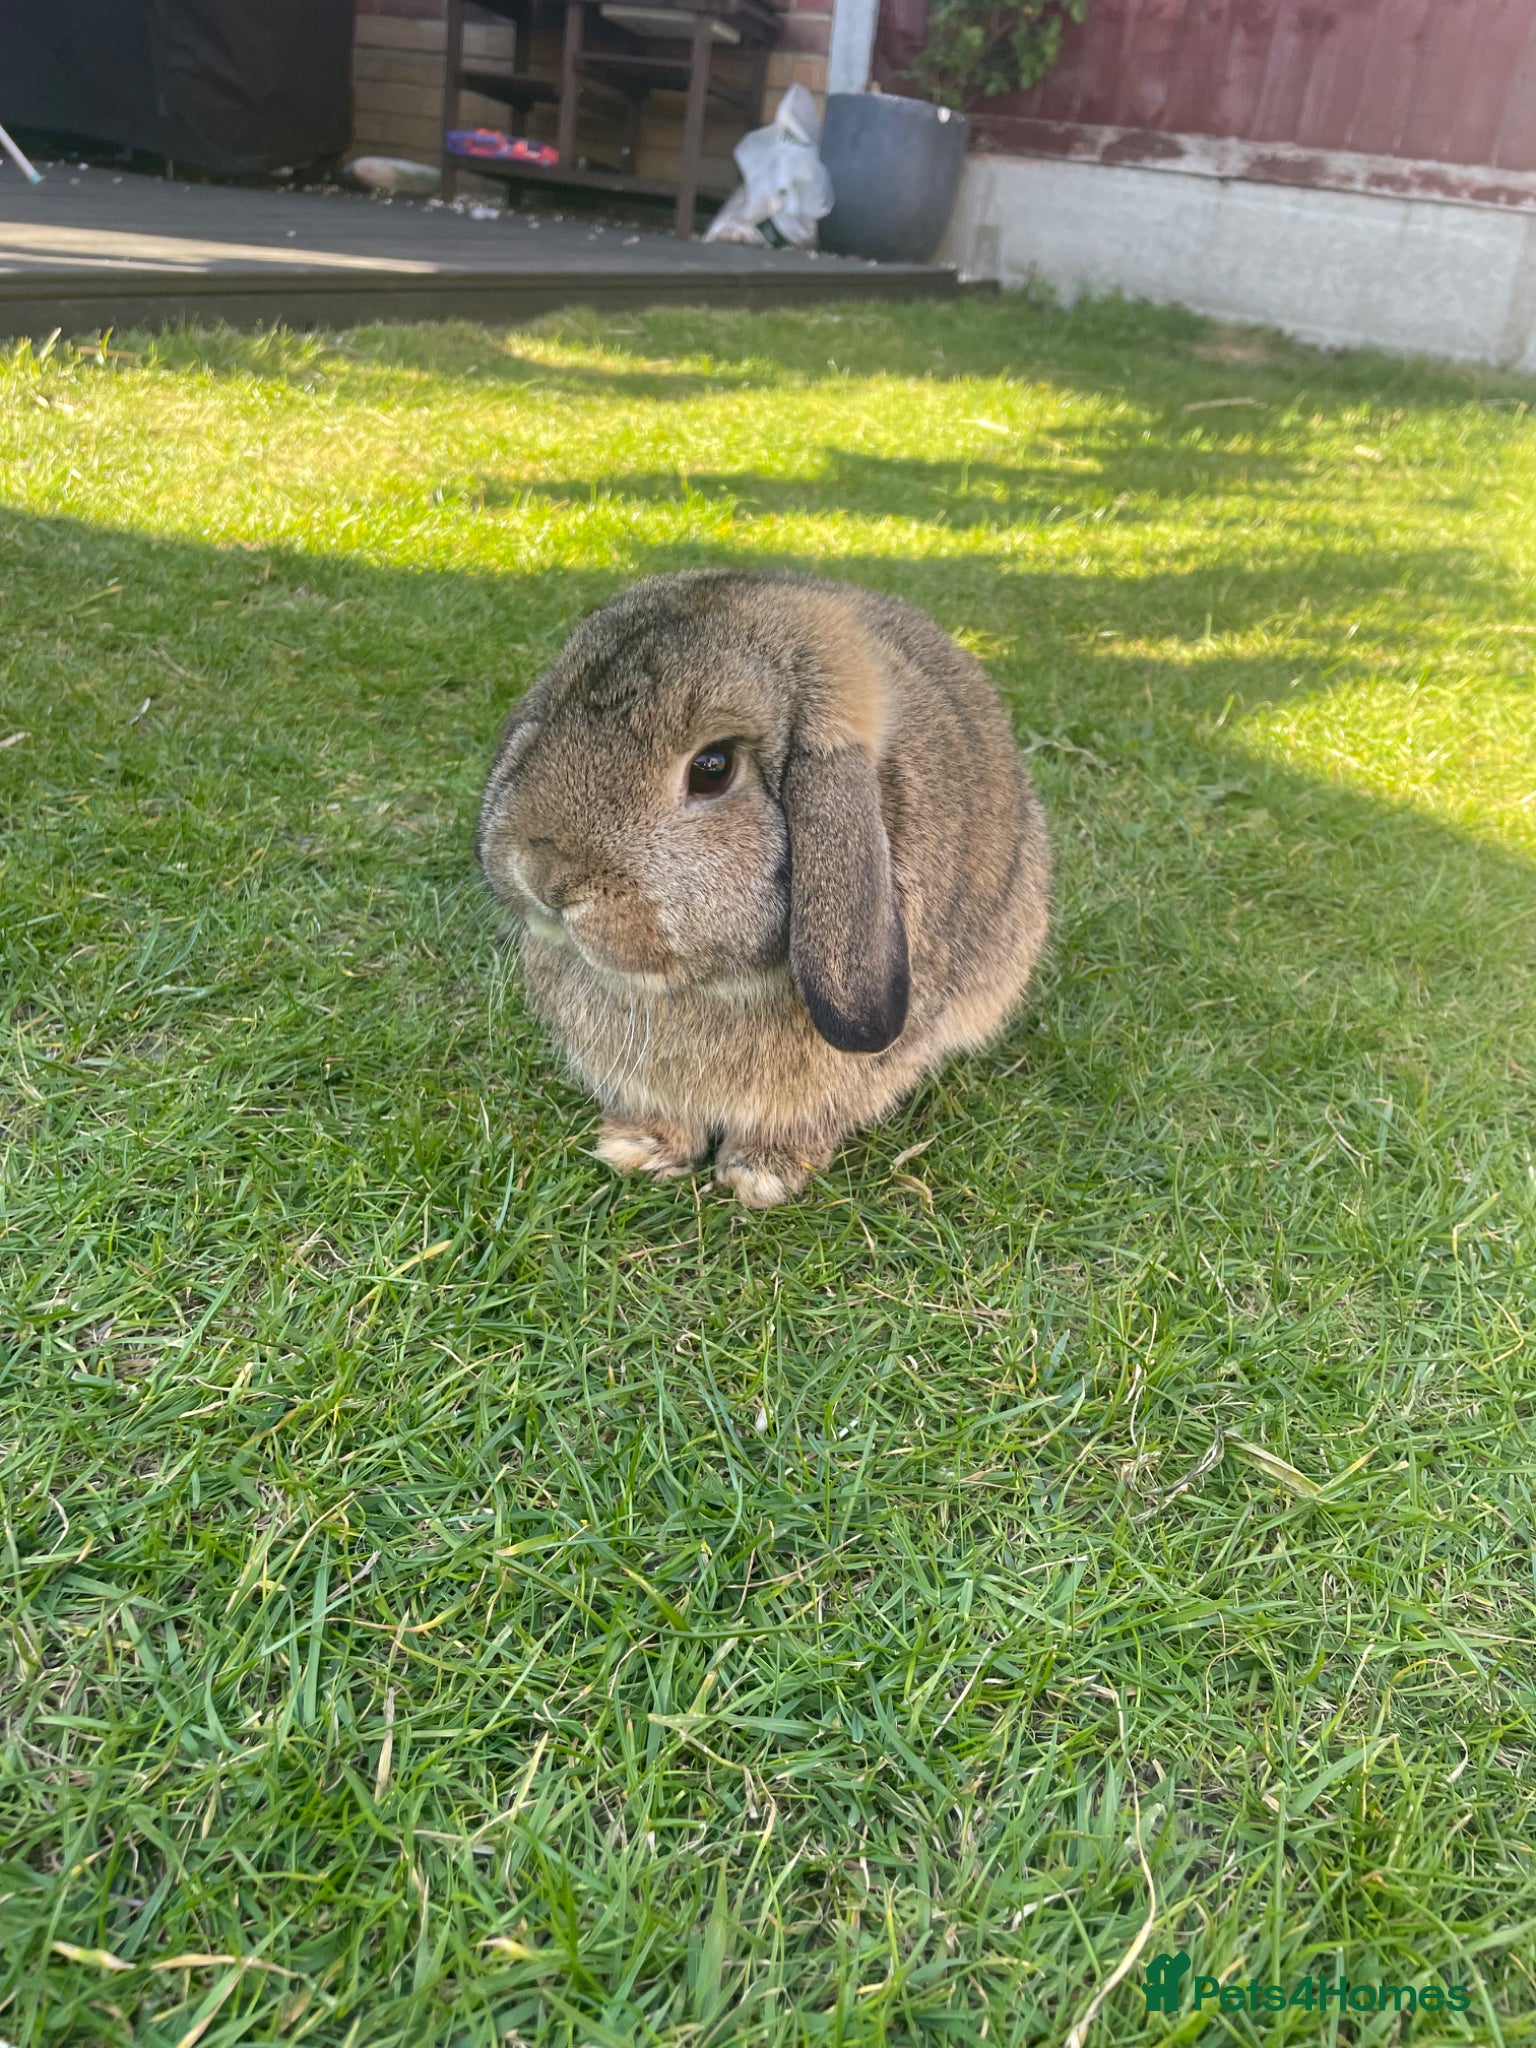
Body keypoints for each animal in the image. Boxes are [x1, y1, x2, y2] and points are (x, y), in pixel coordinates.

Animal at [476, 571, 1051, 1207]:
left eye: (713, 767)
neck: (706, 988)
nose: (543, 876)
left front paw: (760, 1174)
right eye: (550, 714)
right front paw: (639, 1148)